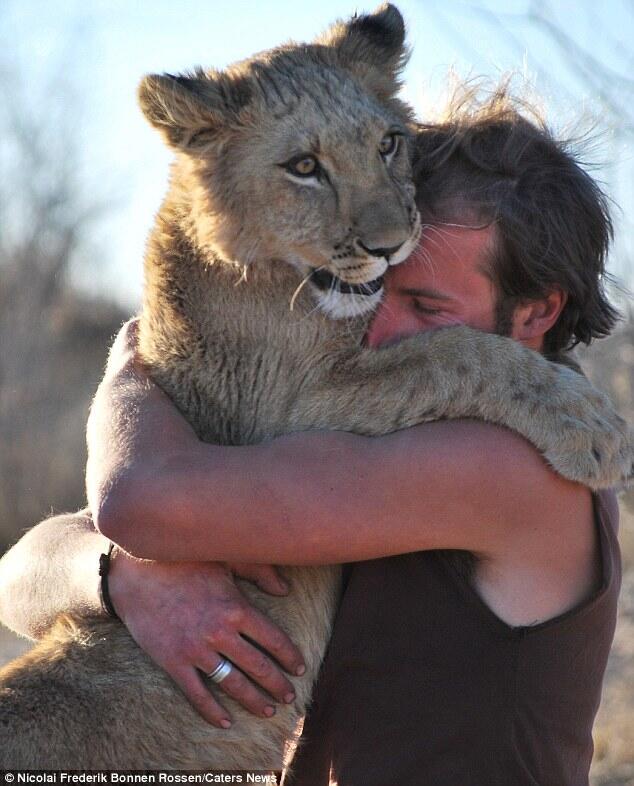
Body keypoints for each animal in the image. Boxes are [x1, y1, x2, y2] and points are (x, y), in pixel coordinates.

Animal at [0, 1, 628, 772]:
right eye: (304, 167)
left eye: (389, 143)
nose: (393, 244)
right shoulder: (290, 407)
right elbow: (453, 352)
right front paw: (592, 429)